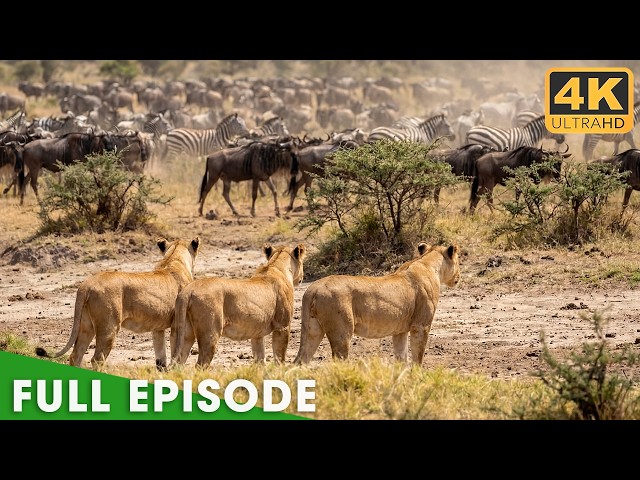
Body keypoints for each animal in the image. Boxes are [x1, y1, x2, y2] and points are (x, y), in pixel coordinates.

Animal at [35, 236, 201, 370]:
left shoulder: (157, 328)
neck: (173, 260)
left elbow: (161, 359)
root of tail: (86, 285)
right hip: (108, 328)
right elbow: (177, 353)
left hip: (86, 326)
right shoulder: (177, 325)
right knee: (97, 359)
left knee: (75, 355)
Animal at [171, 243, 306, 368]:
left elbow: (260, 359)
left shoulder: (257, 334)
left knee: (178, 362)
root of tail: (188, 291)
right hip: (210, 334)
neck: (276, 267)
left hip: (185, 334)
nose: (302, 278)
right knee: (200, 364)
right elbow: (279, 357)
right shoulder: (282, 326)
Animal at [293, 242, 461, 366]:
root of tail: (313, 289)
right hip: (341, 333)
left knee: (300, 361)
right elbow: (417, 357)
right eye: (459, 262)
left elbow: (401, 357)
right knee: (338, 362)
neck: (428, 264)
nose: (459, 276)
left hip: (311, 330)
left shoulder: (400, 331)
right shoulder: (420, 326)